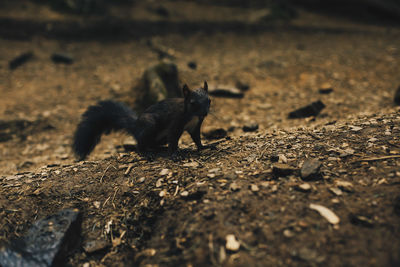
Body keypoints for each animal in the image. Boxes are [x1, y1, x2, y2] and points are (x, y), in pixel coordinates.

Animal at [72, 81, 211, 161]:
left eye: (209, 100)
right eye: (192, 103)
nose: (205, 113)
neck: (193, 116)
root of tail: (136, 126)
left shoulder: (195, 126)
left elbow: (197, 138)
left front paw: (204, 146)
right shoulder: (175, 123)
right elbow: (173, 140)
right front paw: (175, 154)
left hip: (159, 137)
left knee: (151, 144)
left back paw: (159, 149)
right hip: (149, 124)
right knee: (140, 144)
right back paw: (146, 153)